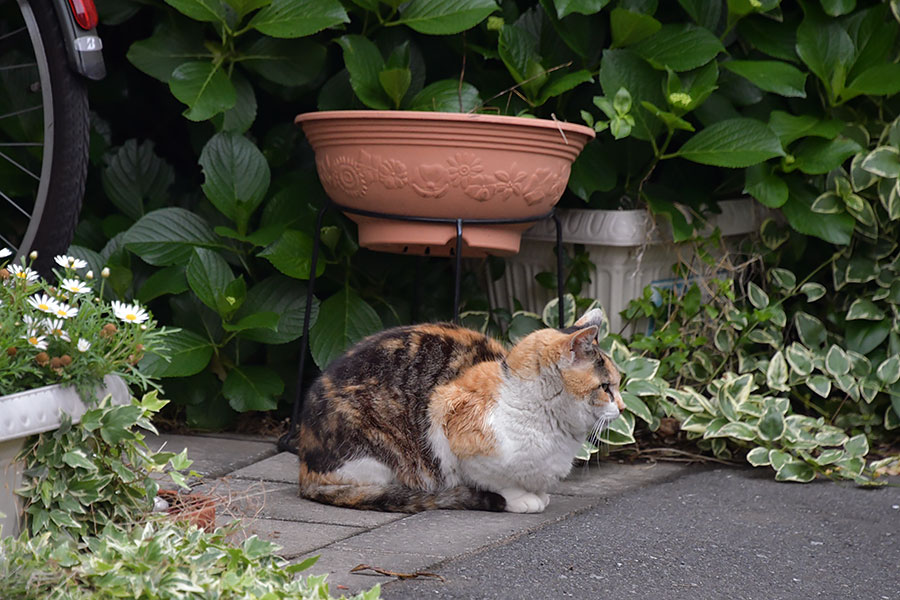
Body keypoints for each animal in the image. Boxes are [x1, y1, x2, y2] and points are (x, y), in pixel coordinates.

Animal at [296, 310, 620, 510]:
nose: (622, 406)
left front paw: (539, 494)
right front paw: (522, 499)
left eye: (618, 384)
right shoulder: (447, 413)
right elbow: (497, 480)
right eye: (605, 387)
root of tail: (304, 473)